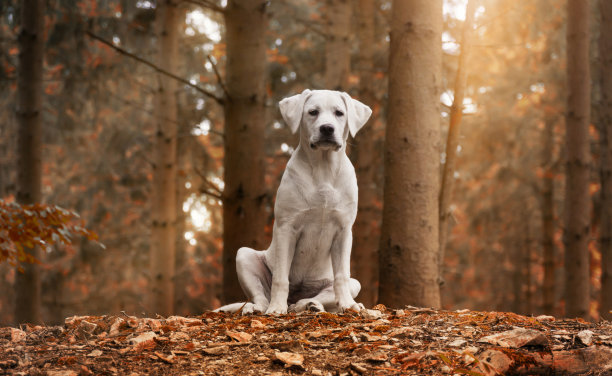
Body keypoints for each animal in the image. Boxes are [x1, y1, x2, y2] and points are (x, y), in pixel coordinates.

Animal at [219, 89, 372, 314]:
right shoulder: (287, 227)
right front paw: (276, 308)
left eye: (339, 113)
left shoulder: (344, 231)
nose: (327, 128)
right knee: (260, 296)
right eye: (313, 112)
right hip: (244, 256)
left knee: (321, 295)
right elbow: (281, 278)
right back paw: (260, 308)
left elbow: (342, 275)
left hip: (353, 283)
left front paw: (348, 305)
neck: (323, 169)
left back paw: (310, 304)